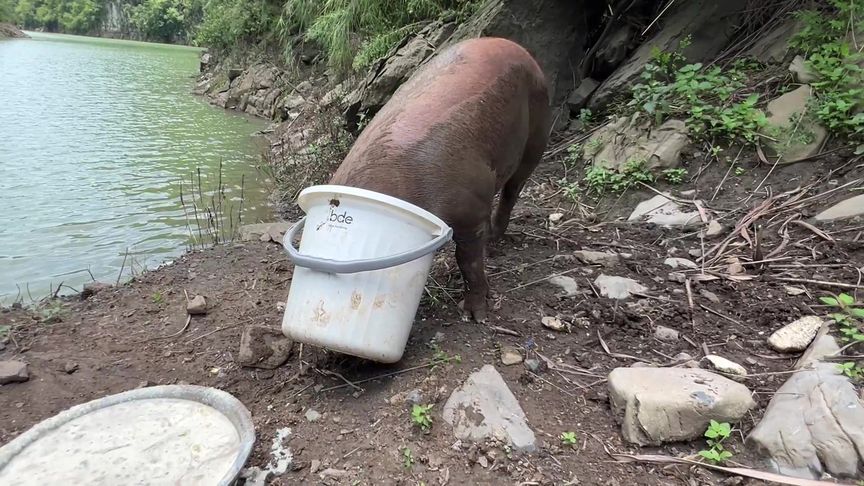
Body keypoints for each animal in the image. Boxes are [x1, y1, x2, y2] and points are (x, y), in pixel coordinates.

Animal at [330, 36, 552, 320]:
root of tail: (515, 45)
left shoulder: (470, 207)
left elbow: (467, 260)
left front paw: (475, 315)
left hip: (537, 132)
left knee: (513, 190)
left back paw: (494, 240)